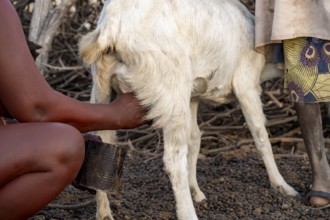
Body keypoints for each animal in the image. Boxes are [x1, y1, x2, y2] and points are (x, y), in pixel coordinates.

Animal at [80, 0, 300, 220]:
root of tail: (112, 28)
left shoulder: (193, 96)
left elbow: (194, 138)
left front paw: (197, 192)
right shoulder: (246, 82)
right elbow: (260, 135)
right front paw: (283, 187)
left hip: (102, 86)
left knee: (102, 140)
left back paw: (104, 213)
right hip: (170, 86)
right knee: (173, 160)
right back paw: (188, 213)